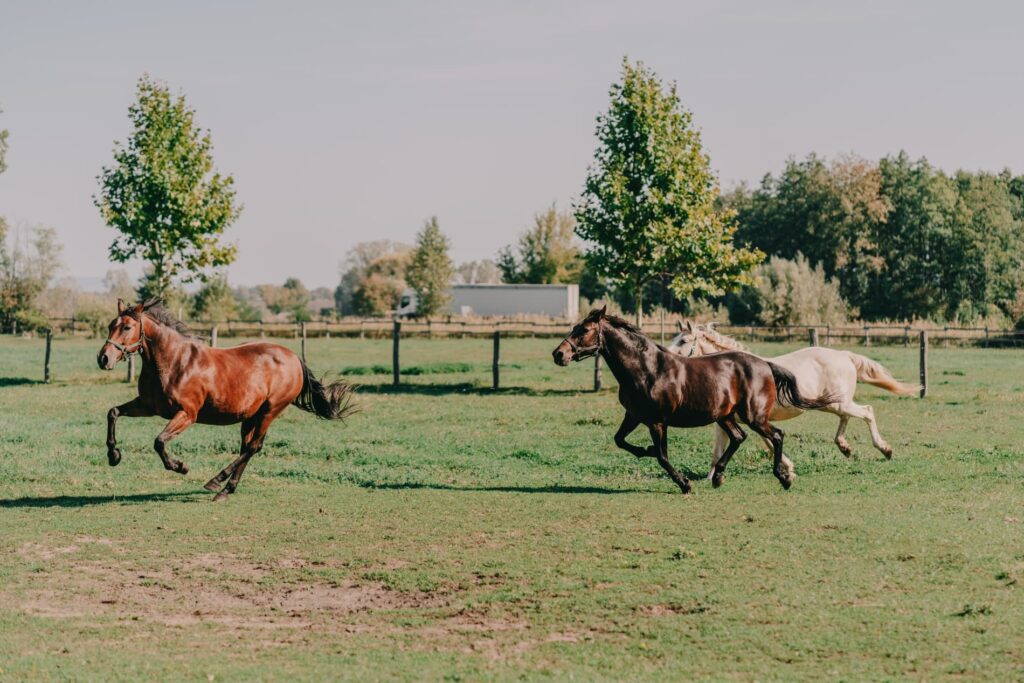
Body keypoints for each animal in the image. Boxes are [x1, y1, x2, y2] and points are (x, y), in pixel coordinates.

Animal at [98, 299, 356, 501]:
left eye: (127, 327)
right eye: (111, 325)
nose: (103, 358)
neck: (173, 362)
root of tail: (293, 357)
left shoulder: (187, 414)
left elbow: (159, 441)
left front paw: (180, 467)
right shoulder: (148, 406)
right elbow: (113, 412)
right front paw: (114, 456)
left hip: (270, 411)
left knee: (252, 447)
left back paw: (216, 481)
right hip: (250, 416)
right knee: (248, 447)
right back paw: (226, 489)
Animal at [552, 309, 831, 491]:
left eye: (584, 330)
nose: (558, 354)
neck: (646, 369)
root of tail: (765, 364)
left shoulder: (657, 422)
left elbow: (662, 457)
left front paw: (684, 484)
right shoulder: (634, 416)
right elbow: (620, 440)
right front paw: (645, 450)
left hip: (754, 416)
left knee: (776, 435)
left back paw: (784, 478)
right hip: (726, 416)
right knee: (739, 437)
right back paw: (719, 477)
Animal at [671, 325, 921, 481]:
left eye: (683, 340)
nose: (669, 357)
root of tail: (844, 355)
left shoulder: (755, 420)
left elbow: (767, 443)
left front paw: (787, 471)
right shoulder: (734, 421)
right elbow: (728, 447)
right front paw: (712, 476)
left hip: (838, 403)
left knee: (867, 412)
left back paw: (885, 449)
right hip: (832, 404)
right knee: (846, 417)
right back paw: (845, 447)